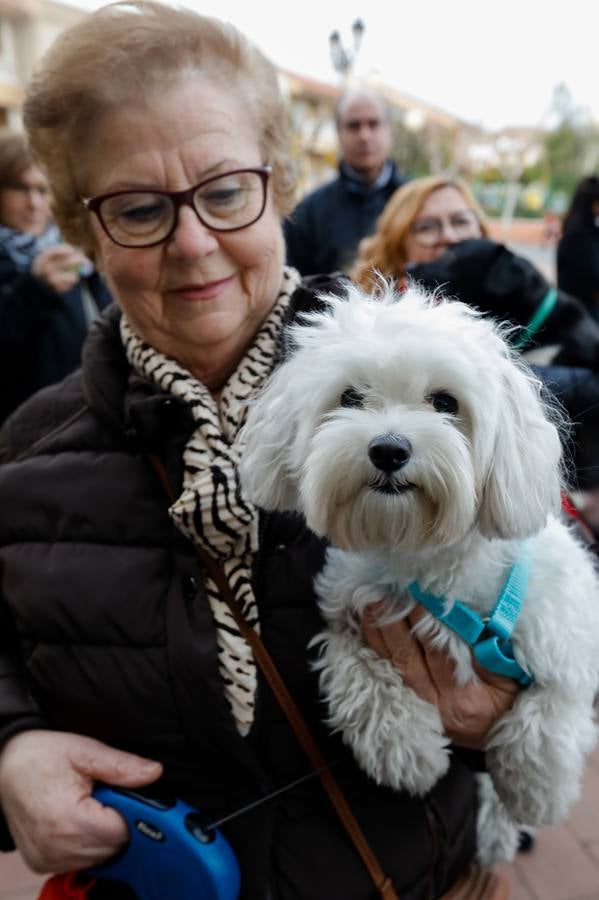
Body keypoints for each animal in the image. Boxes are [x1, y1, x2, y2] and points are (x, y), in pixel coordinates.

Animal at [239, 284, 599, 860]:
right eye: (349, 397)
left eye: (446, 403)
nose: (389, 449)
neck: (426, 557)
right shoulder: (356, 607)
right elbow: (352, 666)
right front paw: (407, 751)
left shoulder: (564, 633)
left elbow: (550, 710)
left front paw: (537, 791)